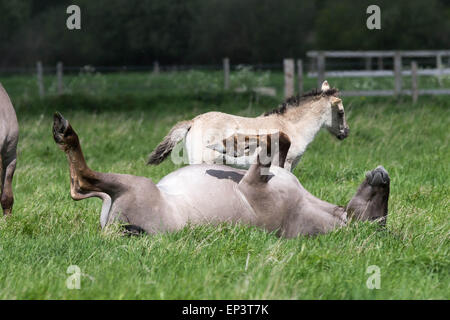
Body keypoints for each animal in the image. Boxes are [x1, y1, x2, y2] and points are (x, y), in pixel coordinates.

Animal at [53, 112, 390, 238]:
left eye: (379, 216)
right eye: (383, 206)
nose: (384, 176)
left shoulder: (255, 181)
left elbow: (275, 142)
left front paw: (229, 146)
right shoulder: (279, 166)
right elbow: (281, 138)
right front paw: (233, 144)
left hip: (135, 184)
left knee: (82, 180)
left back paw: (65, 132)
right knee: (79, 189)